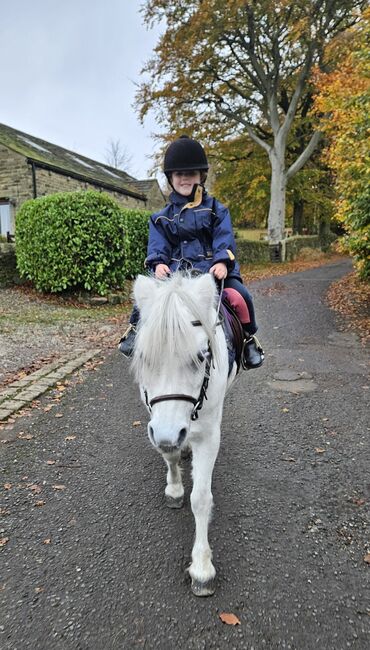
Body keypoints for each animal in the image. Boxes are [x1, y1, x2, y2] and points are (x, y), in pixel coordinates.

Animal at [133, 270, 237, 596]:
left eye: (201, 357)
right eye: (143, 357)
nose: (169, 434)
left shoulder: (208, 436)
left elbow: (201, 498)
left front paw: (202, 567)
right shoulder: (157, 423)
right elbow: (170, 456)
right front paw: (175, 488)